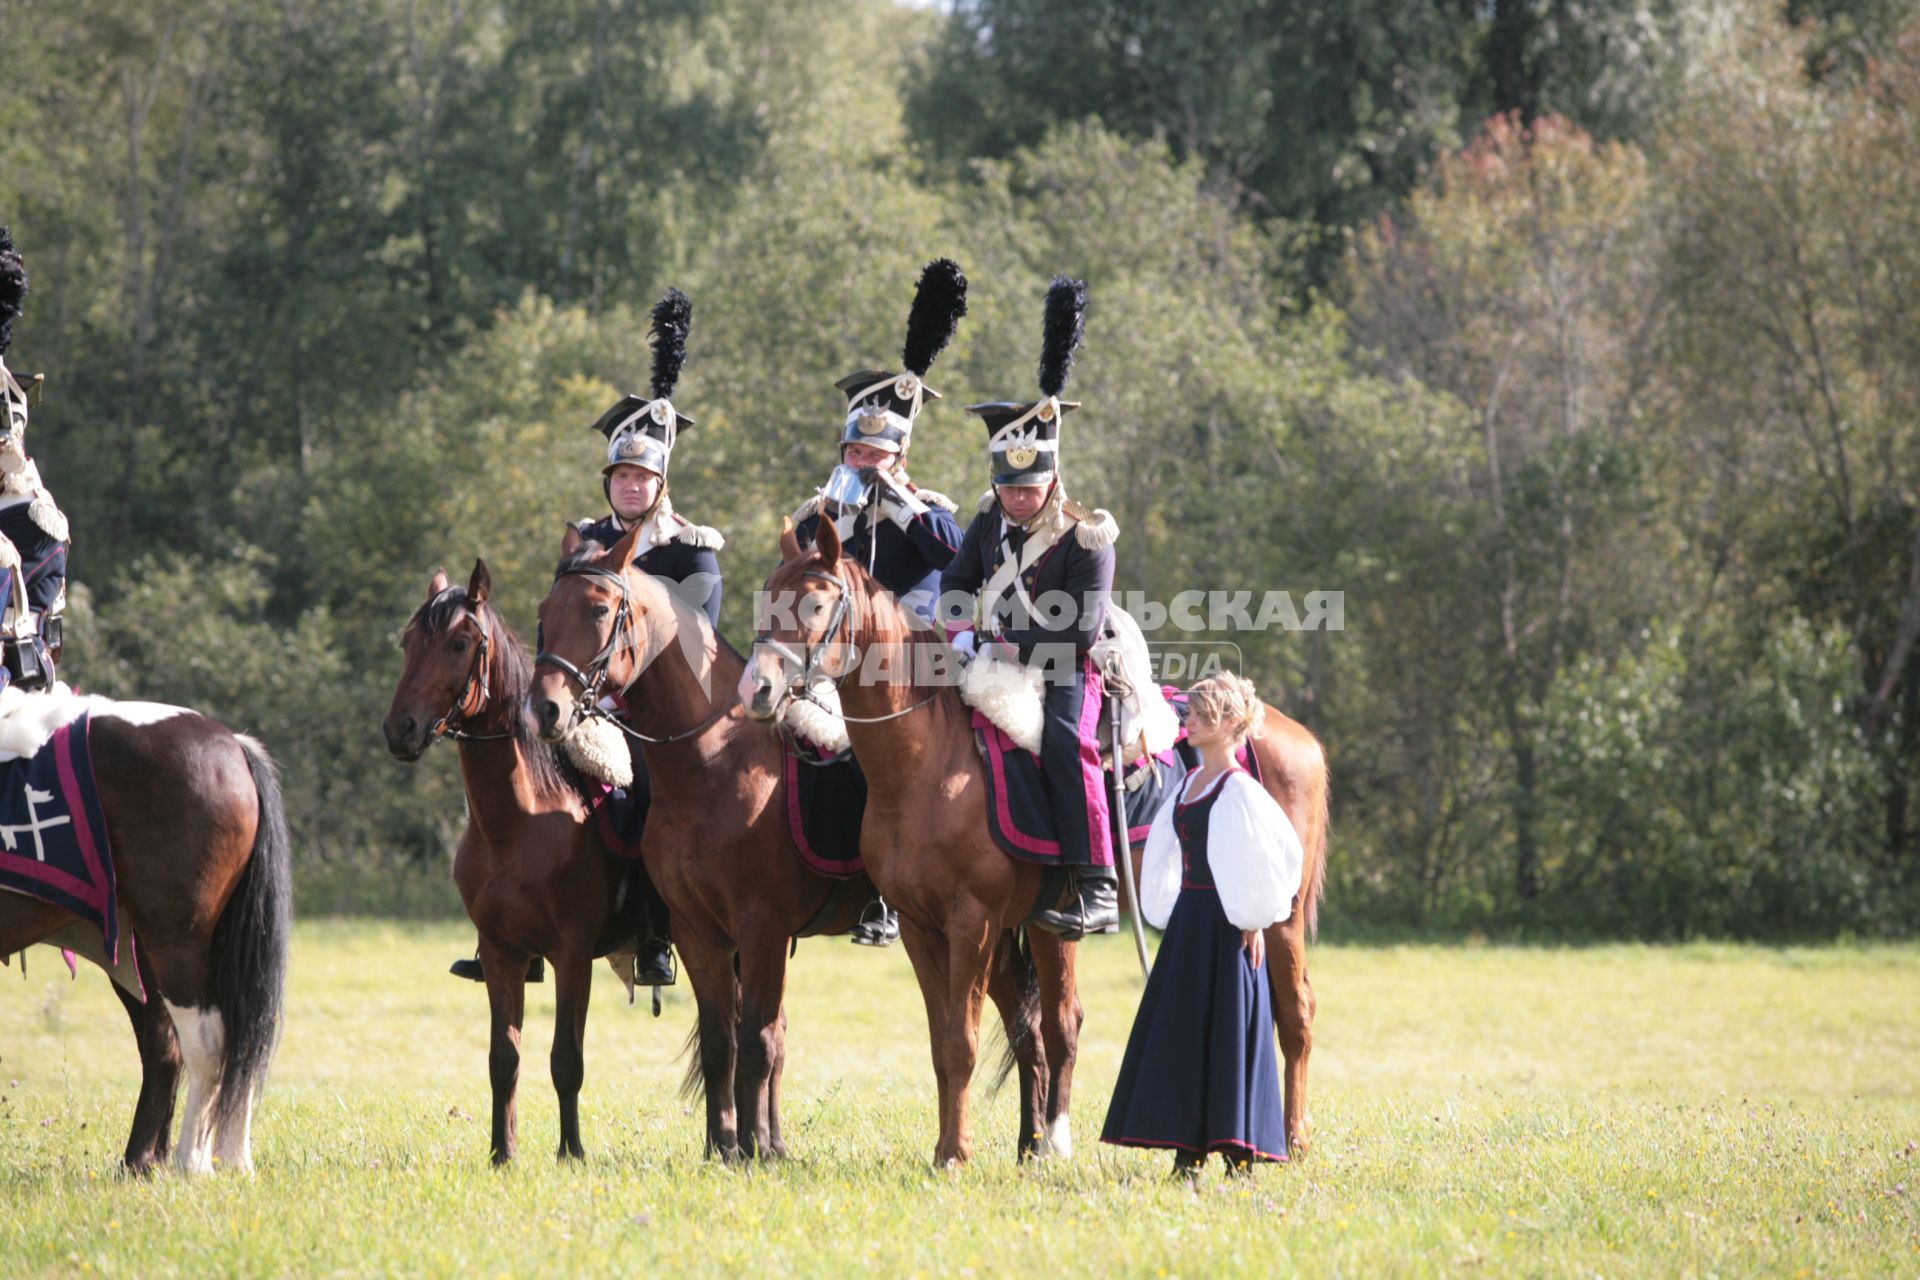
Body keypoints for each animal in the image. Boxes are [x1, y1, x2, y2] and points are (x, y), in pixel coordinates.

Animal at [526, 525, 1052, 1166]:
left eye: (601, 610)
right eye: (545, 613)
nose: (546, 709)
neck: (711, 762)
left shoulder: (763, 927)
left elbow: (757, 1041)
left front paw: (756, 1148)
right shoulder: (697, 931)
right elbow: (723, 1043)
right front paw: (726, 1147)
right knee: (1025, 1023)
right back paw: (1030, 1143)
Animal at [744, 514, 1336, 1166]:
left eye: (816, 602)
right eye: (766, 595)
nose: (758, 691)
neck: (926, 760)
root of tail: (1294, 735)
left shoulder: (973, 923)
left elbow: (963, 1040)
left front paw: (956, 1152)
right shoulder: (921, 927)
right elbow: (943, 1042)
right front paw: (950, 1147)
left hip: (1277, 912)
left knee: (1298, 1011)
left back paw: (1292, 1139)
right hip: (1059, 924)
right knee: (1064, 1022)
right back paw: (1055, 1138)